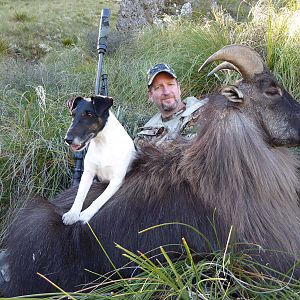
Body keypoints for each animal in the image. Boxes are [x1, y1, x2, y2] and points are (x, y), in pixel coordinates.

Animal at [62, 95, 135, 224]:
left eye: (90, 115)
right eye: (72, 115)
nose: (67, 139)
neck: (103, 145)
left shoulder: (116, 181)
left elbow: (99, 199)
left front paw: (86, 214)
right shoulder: (88, 173)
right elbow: (80, 195)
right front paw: (72, 213)